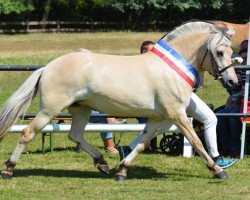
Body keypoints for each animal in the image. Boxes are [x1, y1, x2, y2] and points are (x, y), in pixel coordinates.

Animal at [0, 20, 238, 180]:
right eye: (219, 52)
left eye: (230, 51)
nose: (233, 81)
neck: (172, 69)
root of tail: (48, 67)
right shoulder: (177, 114)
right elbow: (196, 141)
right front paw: (218, 170)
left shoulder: (158, 118)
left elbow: (142, 143)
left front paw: (122, 170)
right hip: (49, 110)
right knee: (27, 133)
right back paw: (9, 169)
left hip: (81, 109)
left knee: (75, 135)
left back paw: (102, 163)